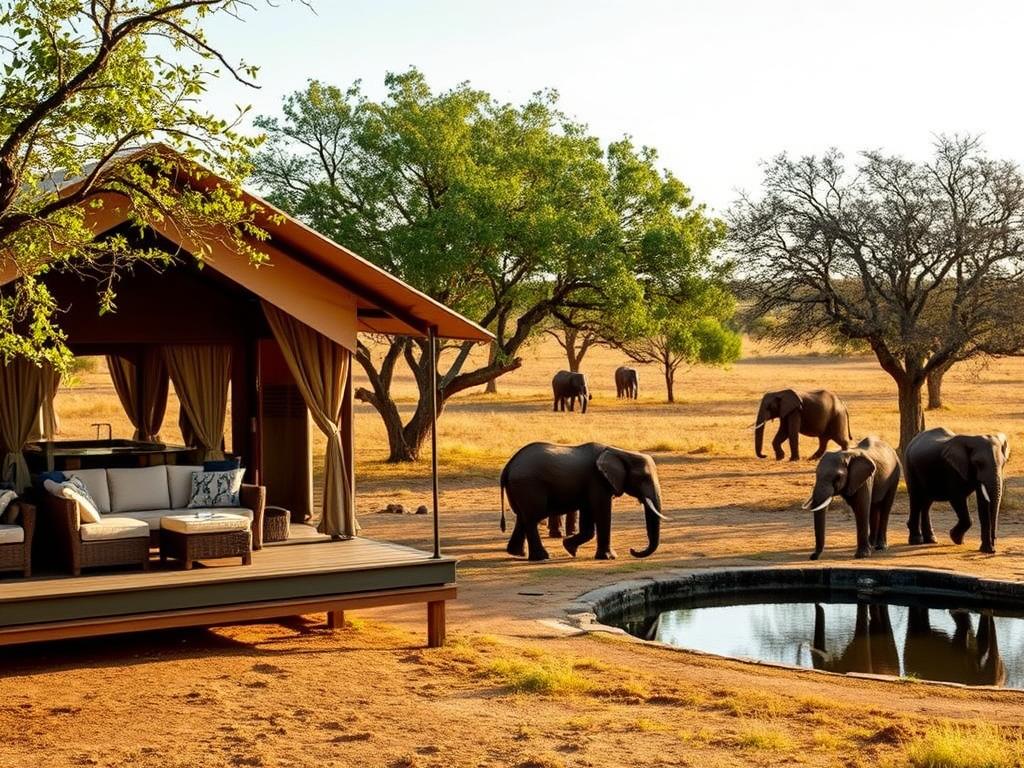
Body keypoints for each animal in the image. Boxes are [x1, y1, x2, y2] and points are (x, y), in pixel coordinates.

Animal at [499, 442, 665, 561]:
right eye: (643, 478)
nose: (632, 550)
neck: (620, 452)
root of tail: (507, 467)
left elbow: (589, 518)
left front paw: (569, 548)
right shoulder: (598, 481)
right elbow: (602, 510)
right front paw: (609, 557)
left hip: (520, 488)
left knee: (522, 516)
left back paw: (518, 553)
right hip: (528, 485)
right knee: (532, 518)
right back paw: (542, 558)